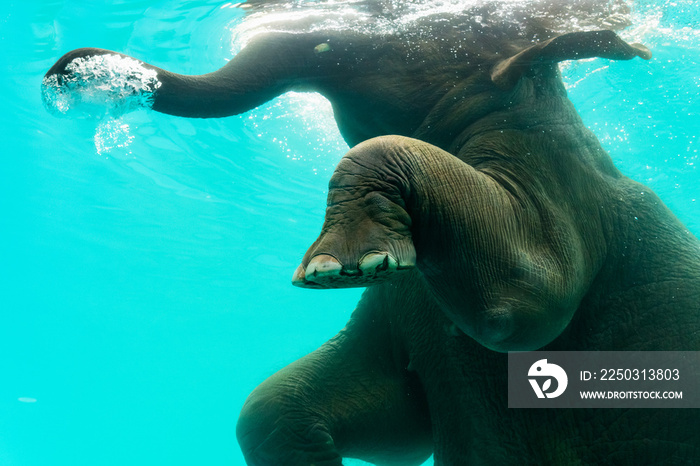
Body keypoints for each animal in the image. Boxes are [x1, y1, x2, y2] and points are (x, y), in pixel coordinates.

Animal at [43, 1, 700, 464]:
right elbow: (329, 417)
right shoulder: (395, 313)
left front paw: (335, 271)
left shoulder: (564, 184)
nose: (63, 75)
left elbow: (524, 303)